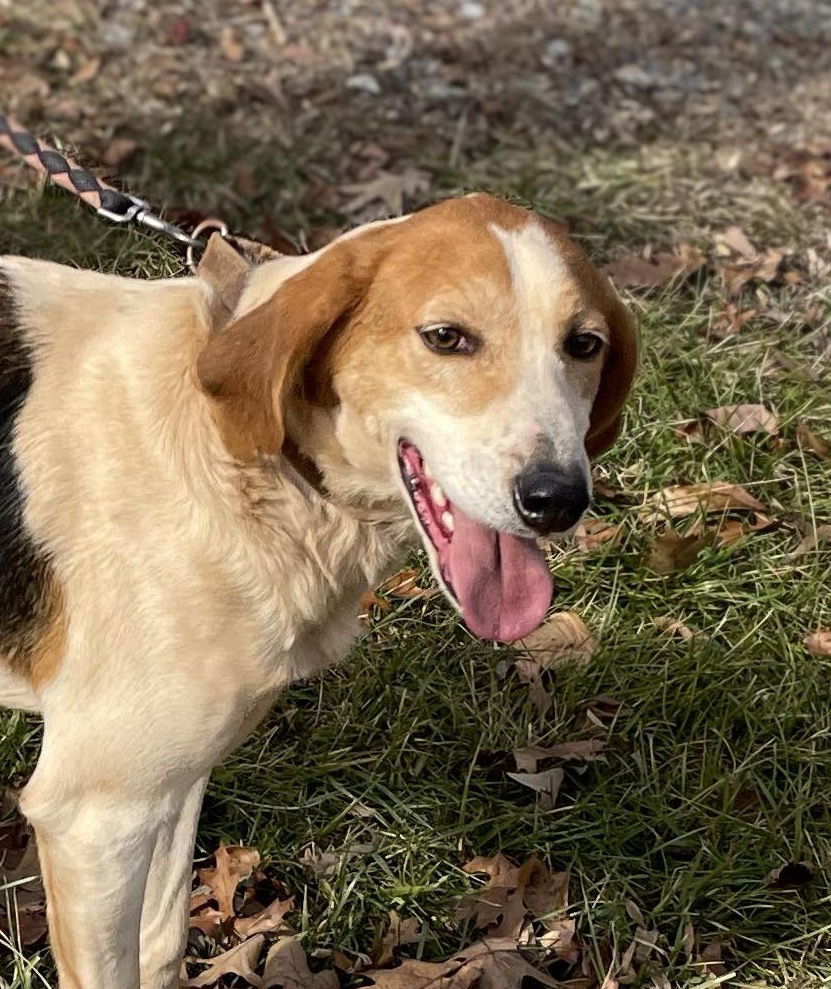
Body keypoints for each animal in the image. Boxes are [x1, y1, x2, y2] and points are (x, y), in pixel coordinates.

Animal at [0, 191, 636, 980]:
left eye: (584, 344)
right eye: (445, 338)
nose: (558, 499)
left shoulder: (168, 786)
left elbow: (161, 942)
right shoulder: (93, 816)